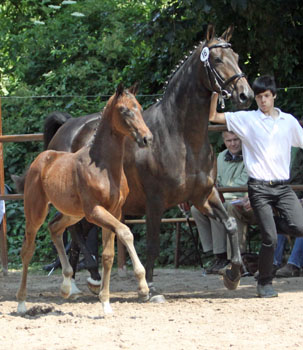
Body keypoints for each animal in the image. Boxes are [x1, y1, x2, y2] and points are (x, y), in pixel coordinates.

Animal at [25, 23, 254, 292]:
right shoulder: (155, 200)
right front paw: (150, 286)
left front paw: (233, 275)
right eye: (217, 59)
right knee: (73, 231)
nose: (245, 95)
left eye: (236, 56)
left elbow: (230, 224)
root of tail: (65, 128)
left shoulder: (203, 196)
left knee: (72, 229)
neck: (182, 137)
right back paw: (90, 275)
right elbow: (153, 243)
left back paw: (81, 280)